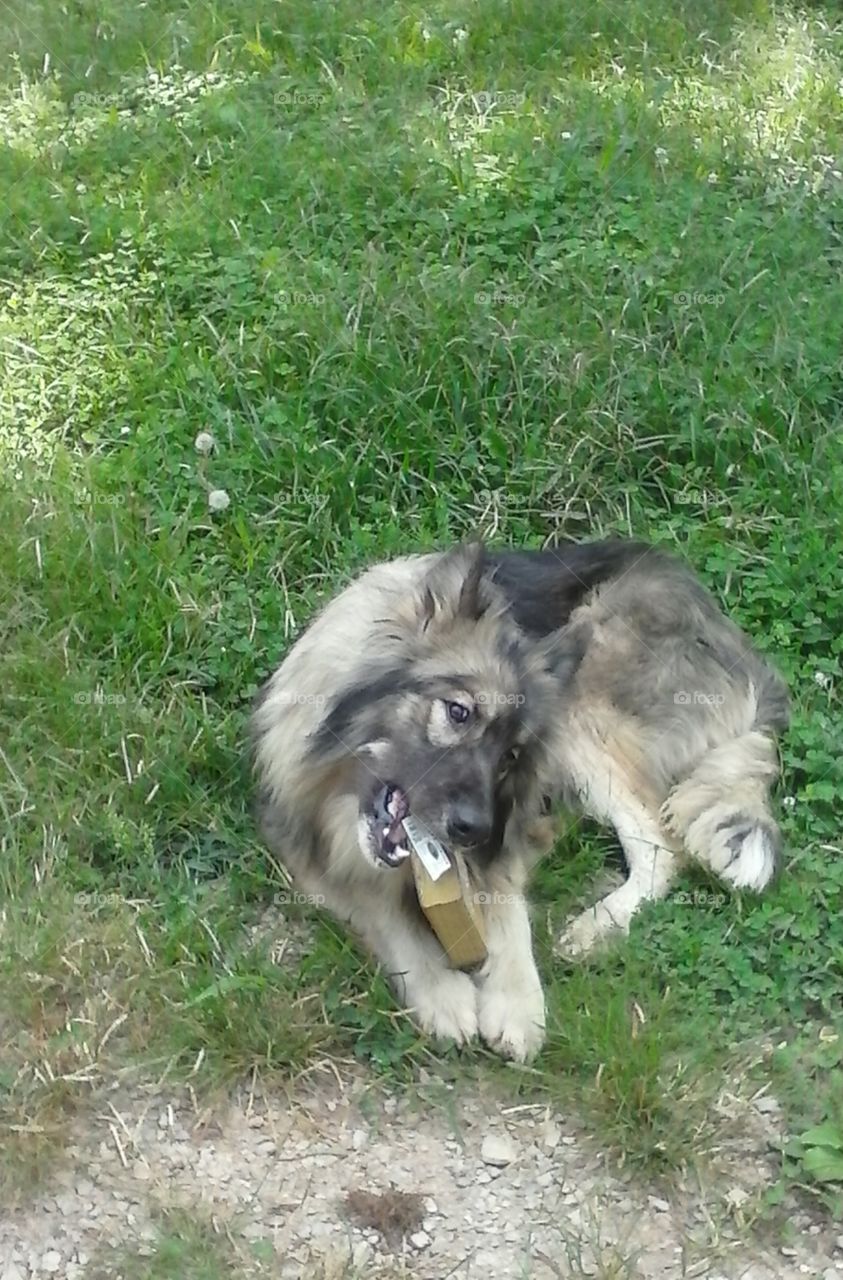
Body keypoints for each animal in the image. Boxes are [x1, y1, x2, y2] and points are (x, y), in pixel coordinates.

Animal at [251, 540, 788, 1061]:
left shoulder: (507, 830)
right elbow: (384, 912)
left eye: (511, 755)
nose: (473, 830)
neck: (339, 785)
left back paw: (596, 927)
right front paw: (442, 990)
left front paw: (516, 1004)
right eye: (459, 712)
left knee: (662, 845)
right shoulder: (304, 845)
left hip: (584, 704)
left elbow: (508, 911)